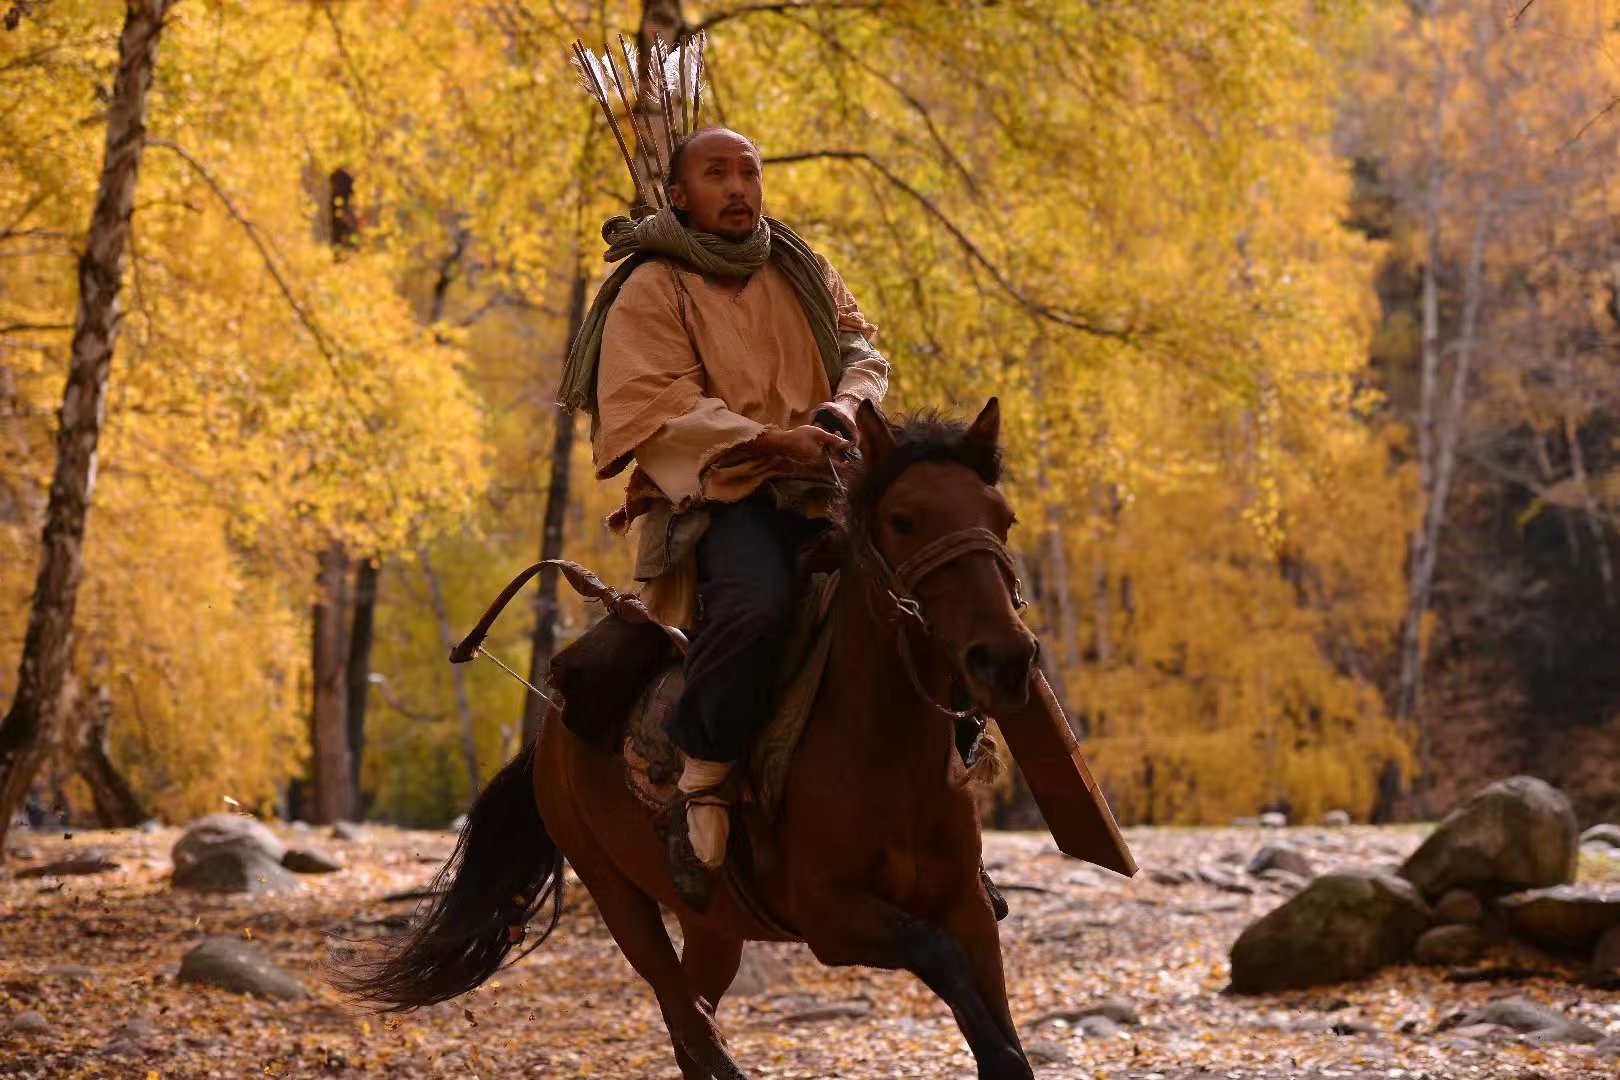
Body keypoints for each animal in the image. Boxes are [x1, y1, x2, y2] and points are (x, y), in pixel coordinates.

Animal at [335, 398, 1055, 1079]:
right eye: (903, 519)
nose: (1005, 660)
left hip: (714, 925)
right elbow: (942, 960)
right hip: (618, 896)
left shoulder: (968, 907)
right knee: (689, 1026)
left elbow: (1000, 1035)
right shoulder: (830, 918)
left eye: (1004, 518)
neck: (884, 750)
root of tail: (550, 738)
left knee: (695, 1023)